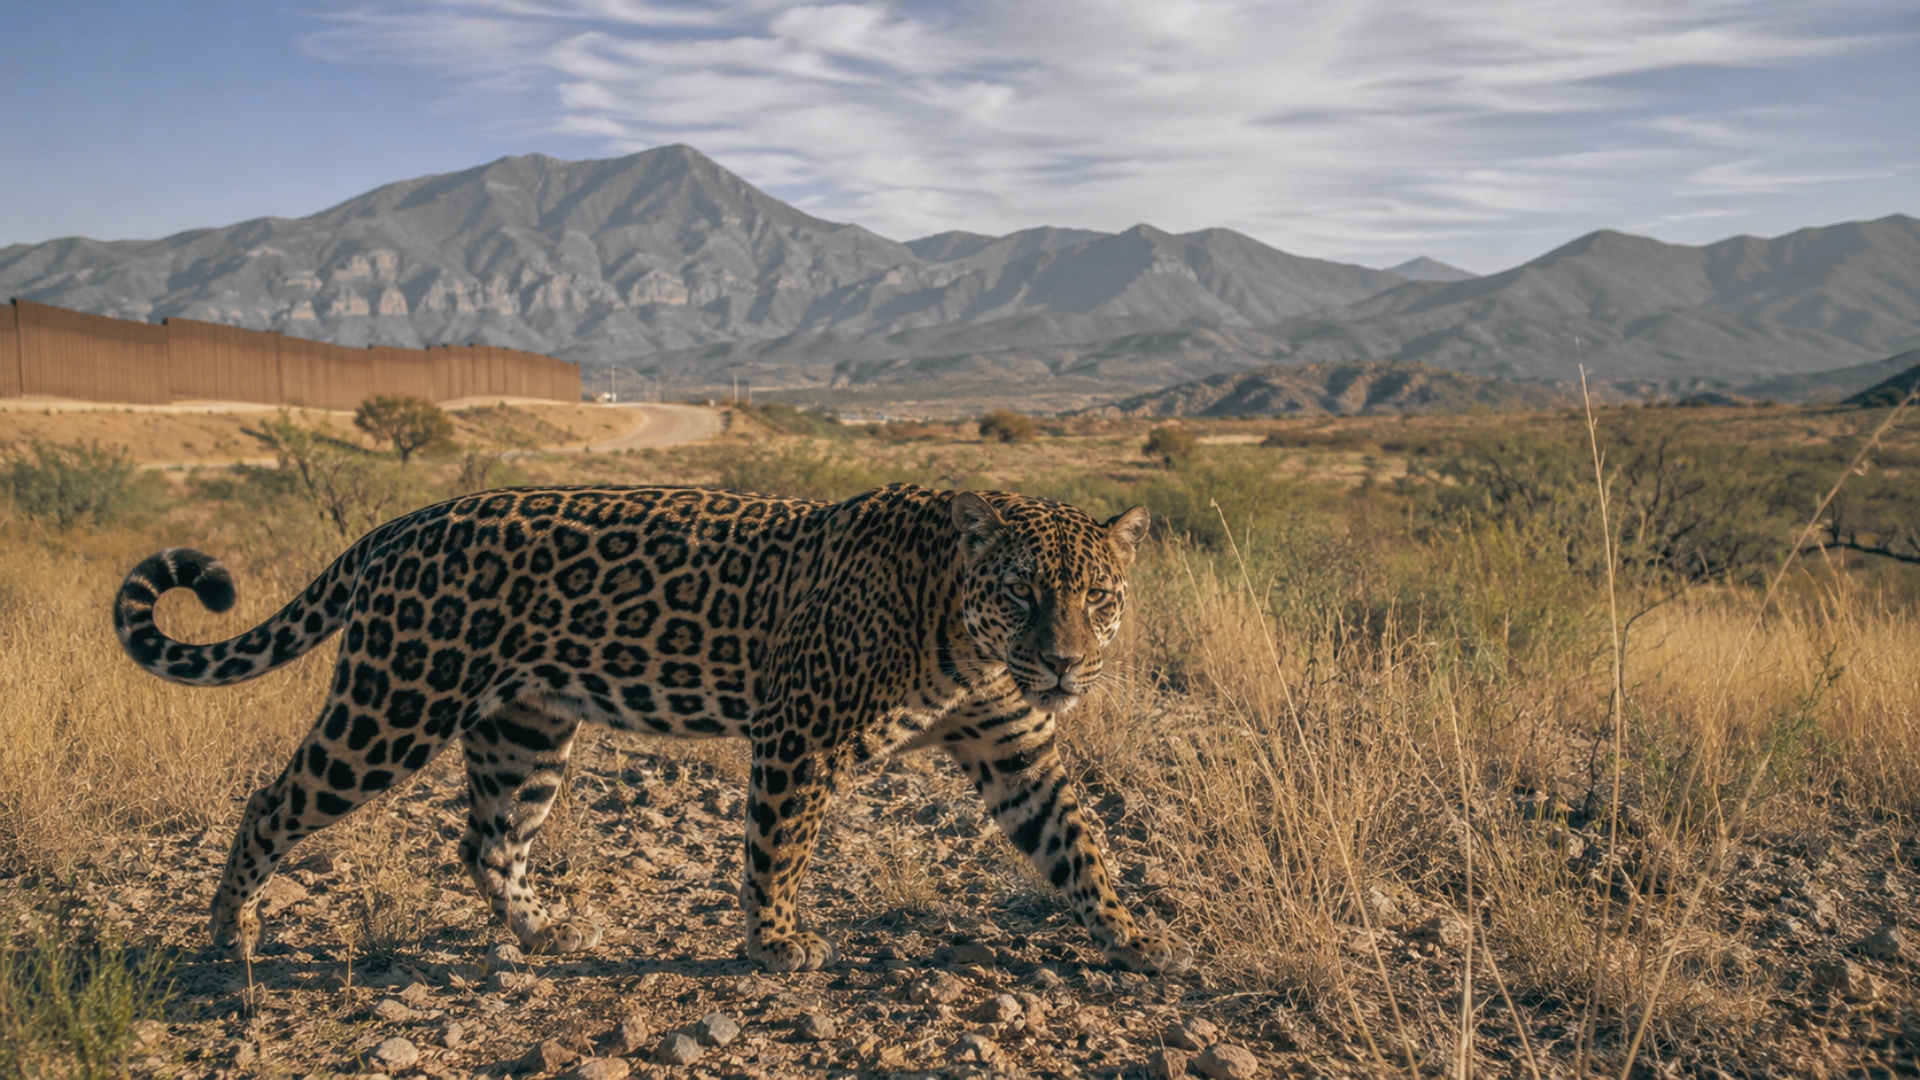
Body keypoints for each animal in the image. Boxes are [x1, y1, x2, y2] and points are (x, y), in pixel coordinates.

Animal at [113, 482, 1189, 975]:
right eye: (1021, 595)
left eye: (1098, 598)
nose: (1067, 663)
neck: (959, 632)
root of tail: (407, 522)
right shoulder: (799, 733)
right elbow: (777, 849)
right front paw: (777, 944)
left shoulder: (1013, 745)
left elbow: (1076, 844)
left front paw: (1134, 936)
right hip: (392, 706)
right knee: (271, 802)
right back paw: (229, 939)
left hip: (525, 728)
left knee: (486, 839)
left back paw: (540, 931)